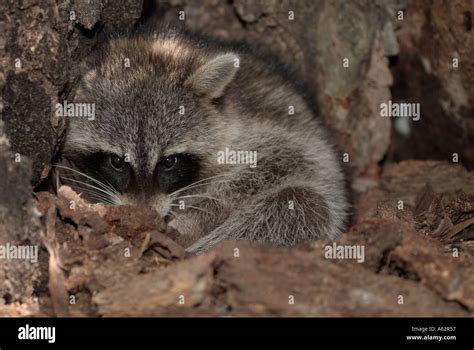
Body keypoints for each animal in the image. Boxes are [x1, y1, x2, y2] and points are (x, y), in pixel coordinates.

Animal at [58, 27, 348, 252]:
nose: (145, 216)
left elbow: (277, 164)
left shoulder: (272, 136)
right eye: (116, 162)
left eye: (170, 162)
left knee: (304, 204)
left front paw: (194, 220)